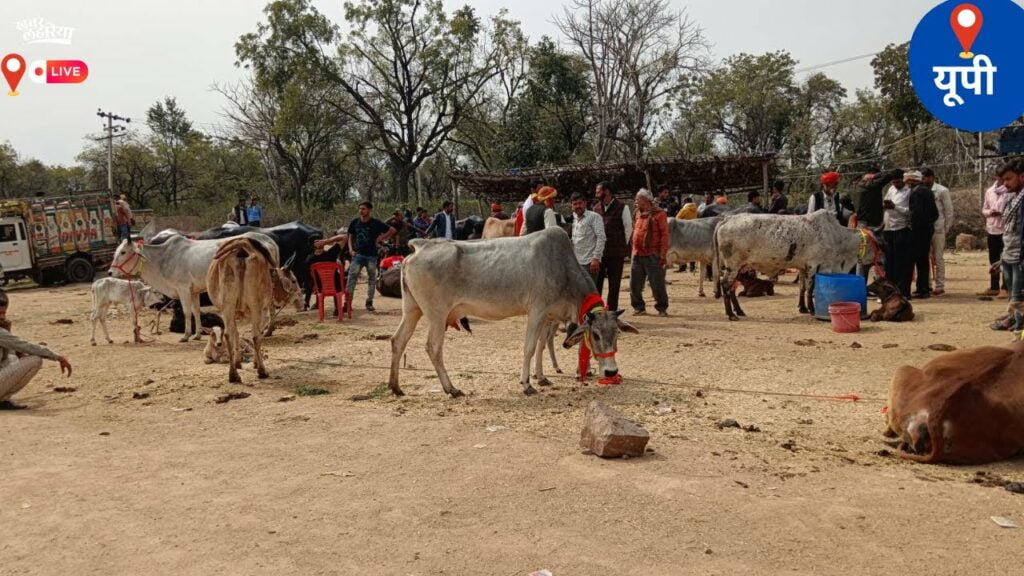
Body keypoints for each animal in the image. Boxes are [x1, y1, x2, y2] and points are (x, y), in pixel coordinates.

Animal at [387, 226, 634, 397]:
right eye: (596, 335)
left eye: (616, 334)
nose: (611, 372)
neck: (564, 270)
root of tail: (419, 247)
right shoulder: (536, 311)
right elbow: (530, 348)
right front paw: (527, 384)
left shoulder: (548, 317)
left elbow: (542, 346)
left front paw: (541, 377)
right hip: (437, 315)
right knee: (433, 348)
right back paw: (451, 389)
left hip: (411, 310)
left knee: (398, 340)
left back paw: (395, 386)